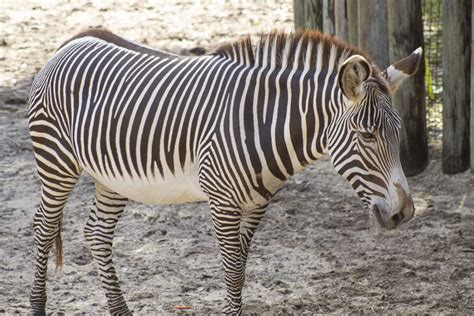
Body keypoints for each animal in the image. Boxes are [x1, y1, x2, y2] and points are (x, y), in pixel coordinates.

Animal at [27, 29, 420, 314]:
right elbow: (231, 271)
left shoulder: (258, 204)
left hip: (110, 177)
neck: (261, 125)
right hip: (57, 162)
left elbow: (241, 269)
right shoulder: (223, 201)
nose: (404, 213)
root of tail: (70, 44)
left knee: (97, 233)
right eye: (367, 136)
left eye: (398, 132)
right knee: (43, 228)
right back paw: (37, 306)